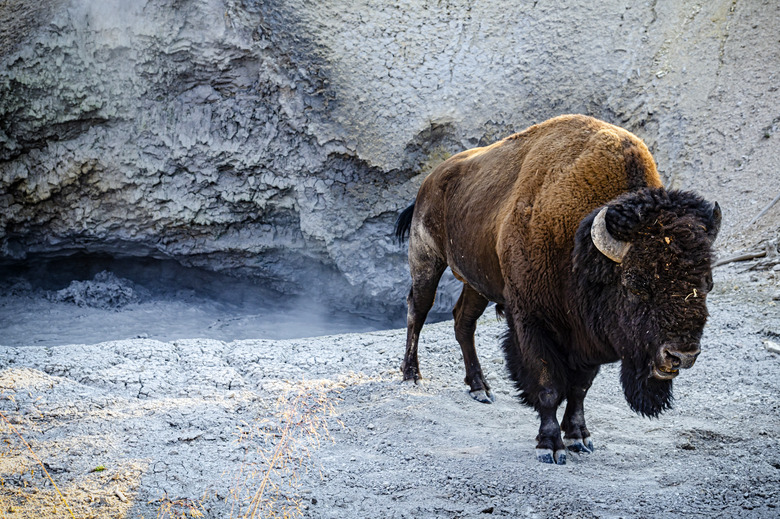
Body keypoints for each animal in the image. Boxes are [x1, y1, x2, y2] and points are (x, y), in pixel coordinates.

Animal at [394, 116, 724, 466]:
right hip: (427, 260)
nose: (681, 355)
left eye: (707, 284)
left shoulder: (589, 334)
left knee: (462, 322)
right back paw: (412, 376)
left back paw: (480, 388)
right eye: (635, 284)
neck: (580, 245)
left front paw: (579, 437)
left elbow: (580, 388)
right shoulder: (532, 322)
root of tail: (432, 179)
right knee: (418, 311)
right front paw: (550, 445)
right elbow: (548, 384)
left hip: (477, 282)